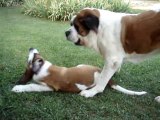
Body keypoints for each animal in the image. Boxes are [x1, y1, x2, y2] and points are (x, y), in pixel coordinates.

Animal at [11, 47, 146, 95]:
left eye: (34, 56)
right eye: (37, 54)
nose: (31, 48)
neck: (43, 67)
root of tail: (100, 70)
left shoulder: (49, 87)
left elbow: (32, 86)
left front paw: (19, 87)